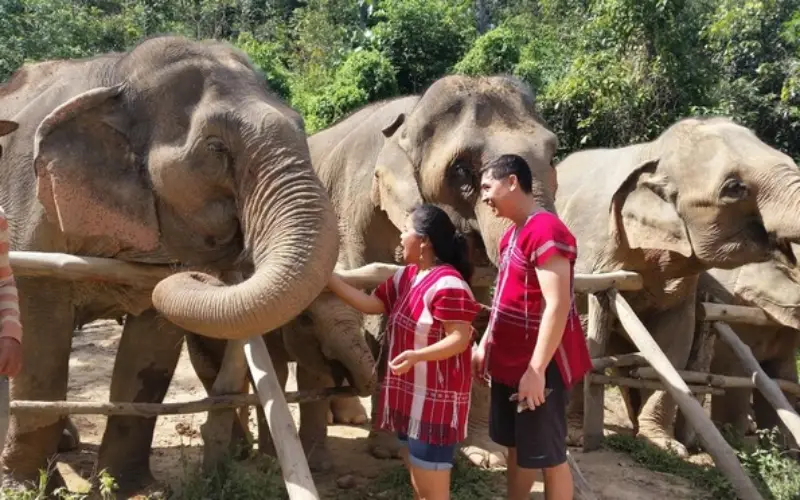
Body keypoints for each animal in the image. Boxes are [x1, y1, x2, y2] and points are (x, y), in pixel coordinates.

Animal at [0, 36, 338, 494]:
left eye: (302, 128)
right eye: (215, 148)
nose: (213, 271)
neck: (118, 75)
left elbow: (151, 348)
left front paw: (132, 489)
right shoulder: (30, 222)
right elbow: (39, 341)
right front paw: (28, 487)